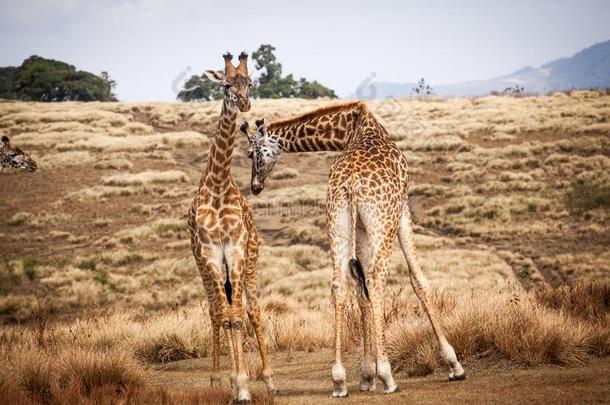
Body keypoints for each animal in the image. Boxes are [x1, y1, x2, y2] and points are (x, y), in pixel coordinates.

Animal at [184, 51, 272, 400]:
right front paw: (236, 383)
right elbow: (225, 315)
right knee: (216, 312)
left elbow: (237, 316)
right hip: (203, 264)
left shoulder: (234, 249)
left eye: (249, 82)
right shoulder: (210, 253)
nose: (244, 103)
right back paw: (217, 379)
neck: (220, 185)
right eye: (225, 85)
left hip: (250, 258)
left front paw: (244, 385)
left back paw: (268, 379)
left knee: (252, 311)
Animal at [240, 101, 464, 394]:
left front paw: (366, 375)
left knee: (340, 285)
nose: (255, 186)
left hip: (337, 218)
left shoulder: (358, 225)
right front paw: (454, 365)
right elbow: (418, 280)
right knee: (377, 279)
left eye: (251, 153)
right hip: (383, 220)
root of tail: (352, 181)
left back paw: (339, 379)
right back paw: (388, 375)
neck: (351, 128)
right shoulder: (403, 206)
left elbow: (361, 292)